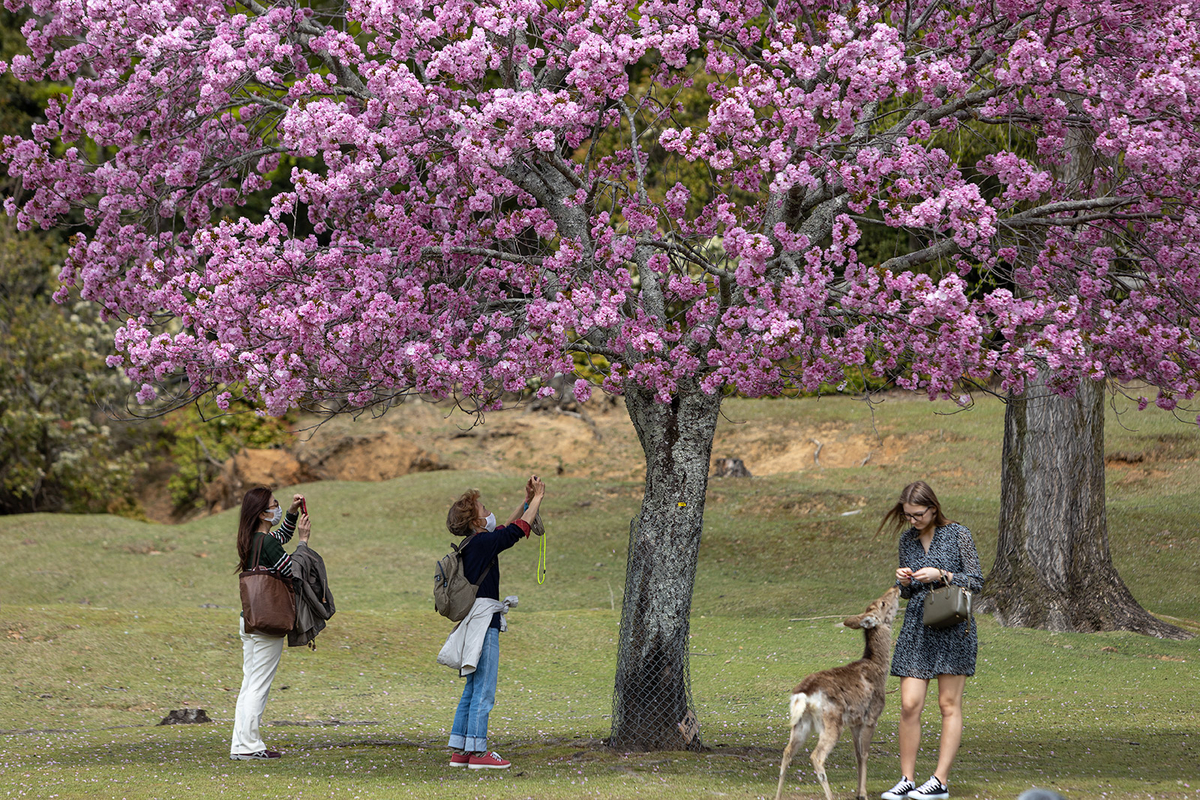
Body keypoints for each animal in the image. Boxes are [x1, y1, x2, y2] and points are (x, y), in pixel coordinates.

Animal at [777, 585, 902, 800]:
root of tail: (803, 695)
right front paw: (862, 794)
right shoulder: (871, 716)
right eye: (883, 603)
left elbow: (858, 755)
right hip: (832, 721)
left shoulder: (855, 721)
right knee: (816, 756)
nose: (895, 587)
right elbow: (865, 754)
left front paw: (859, 791)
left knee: (786, 752)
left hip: (801, 723)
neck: (879, 668)